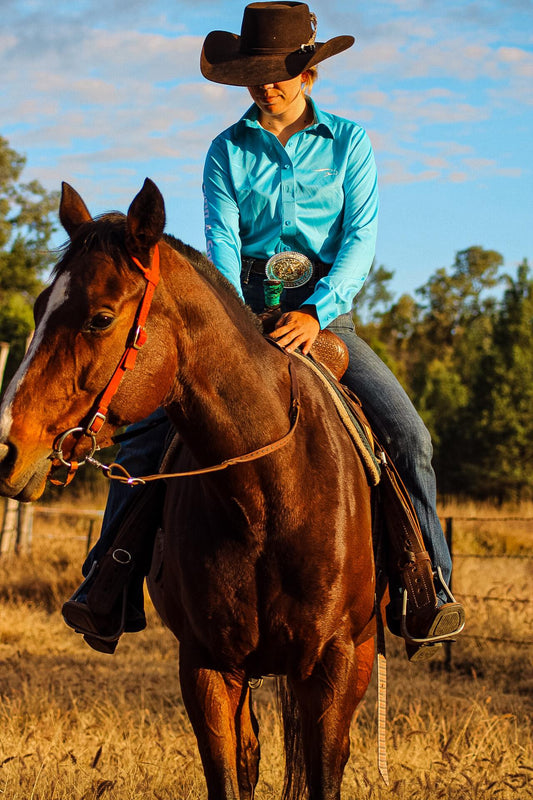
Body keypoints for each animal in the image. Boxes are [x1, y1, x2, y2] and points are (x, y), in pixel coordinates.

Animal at [0, 181, 374, 800]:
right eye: (37, 309)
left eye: (101, 318)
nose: (8, 447)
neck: (265, 500)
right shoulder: (206, 666)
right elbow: (228, 774)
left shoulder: (334, 664)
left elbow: (325, 773)